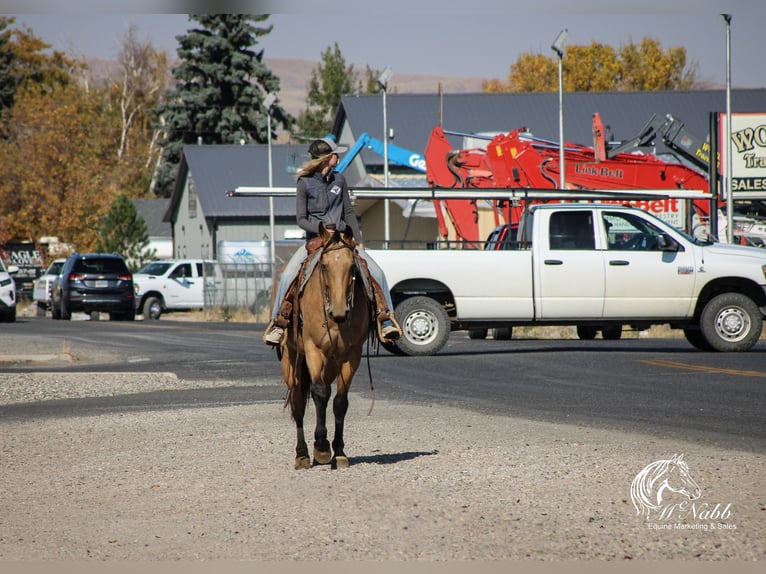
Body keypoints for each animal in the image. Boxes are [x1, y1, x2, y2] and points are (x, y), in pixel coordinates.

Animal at [280, 223, 374, 470]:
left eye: (352, 266)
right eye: (324, 266)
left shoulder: (352, 354)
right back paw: (302, 454)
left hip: (331, 364)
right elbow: (320, 393)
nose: (340, 312)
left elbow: (340, 401)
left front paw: (338, 452)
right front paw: (321, 448)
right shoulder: (313, 349)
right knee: (298, 402)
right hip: (291, 360)